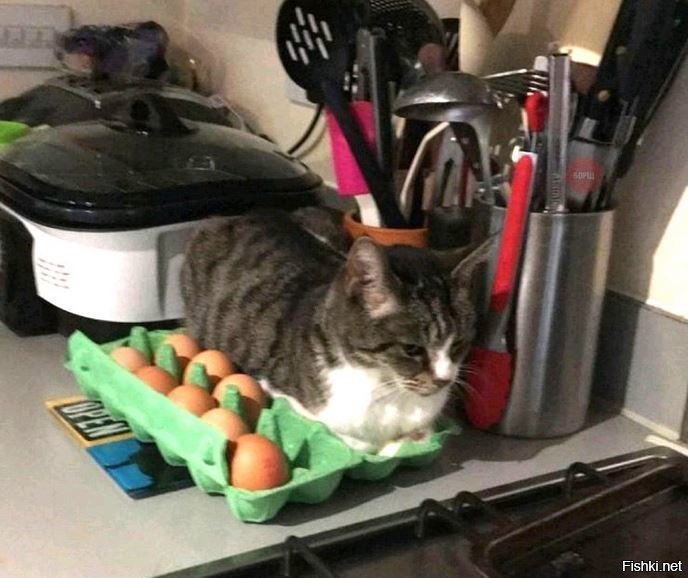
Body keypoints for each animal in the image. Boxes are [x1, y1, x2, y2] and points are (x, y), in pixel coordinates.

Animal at [181, 208, 491, 454]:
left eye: (458, 343)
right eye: (412, 349)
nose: (444, 380)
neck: (385, 389)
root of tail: (243, 215)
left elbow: (417, 436)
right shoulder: (277, 391)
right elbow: (351, 440)